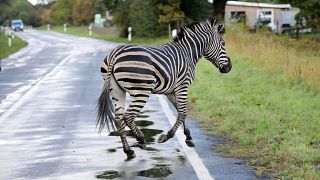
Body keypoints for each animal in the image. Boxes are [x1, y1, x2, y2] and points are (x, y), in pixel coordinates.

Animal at [96, 17, 231, 158]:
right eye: (223, 43)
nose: (229, 67)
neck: (188, 53)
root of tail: (115, 54)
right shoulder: (183, 86)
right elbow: (182, 112)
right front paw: (167, 136)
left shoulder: (171, 91)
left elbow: (181, 110)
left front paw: (188, 136)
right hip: (141, 91)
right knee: (128, 116)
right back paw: (141, 139)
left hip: (116, 90)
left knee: (118, 119)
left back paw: (129, 151)